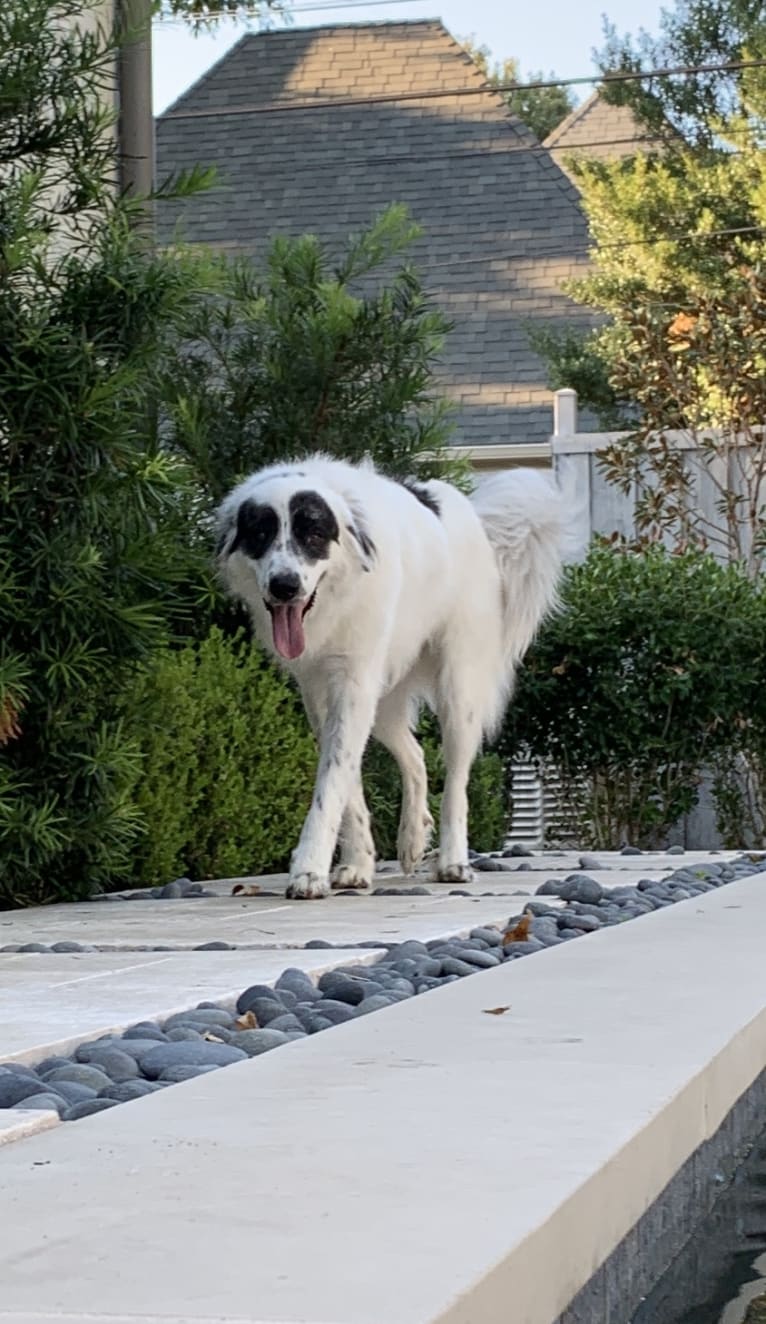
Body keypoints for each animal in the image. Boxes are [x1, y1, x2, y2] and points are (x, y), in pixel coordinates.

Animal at [215, 455, 563, 900]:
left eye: (314, 534)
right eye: (260, 533)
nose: (284, 586)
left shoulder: (354, 685)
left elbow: (331, 784)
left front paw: (309, 869)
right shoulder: (322, 694)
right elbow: (346, 782)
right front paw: (357, 862)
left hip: (458, 691)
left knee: (457, 781)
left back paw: (453, 861)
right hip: (384, 701)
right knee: (415, 756)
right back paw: (412, 838)